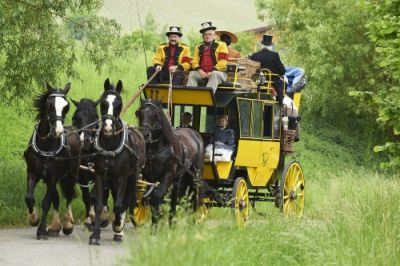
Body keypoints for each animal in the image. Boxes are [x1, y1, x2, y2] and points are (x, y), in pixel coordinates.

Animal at [23, 82, 80, 239]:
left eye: (66, 107)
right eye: (50, 105)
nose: (58, 131)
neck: (46, 145)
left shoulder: (53, 176)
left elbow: (46, 202)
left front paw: (41, 231)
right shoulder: (32, 172)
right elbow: (29, 197)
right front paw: (33, 218)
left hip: (71, 175)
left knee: (69, 195)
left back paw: (67, 224)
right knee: (57, 197)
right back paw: (54, 227)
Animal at [71, 98, 109, 228]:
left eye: (95, 117)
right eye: (75, 118)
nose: (85, 140)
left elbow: (95, 196)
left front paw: (96, 216)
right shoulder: (82, 177)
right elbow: (86, 197)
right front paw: (88, 218)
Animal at [90, 79, 146, 245]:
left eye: (119, 104)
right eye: (103, 102)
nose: (108, 127)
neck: (110, 146)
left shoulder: (122, 178)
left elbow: (119, 205)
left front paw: (117, 227)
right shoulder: (100, 175)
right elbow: (98, 204)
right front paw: (95, 235)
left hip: (132, 177)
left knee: (126, 201)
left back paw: (119, 230)